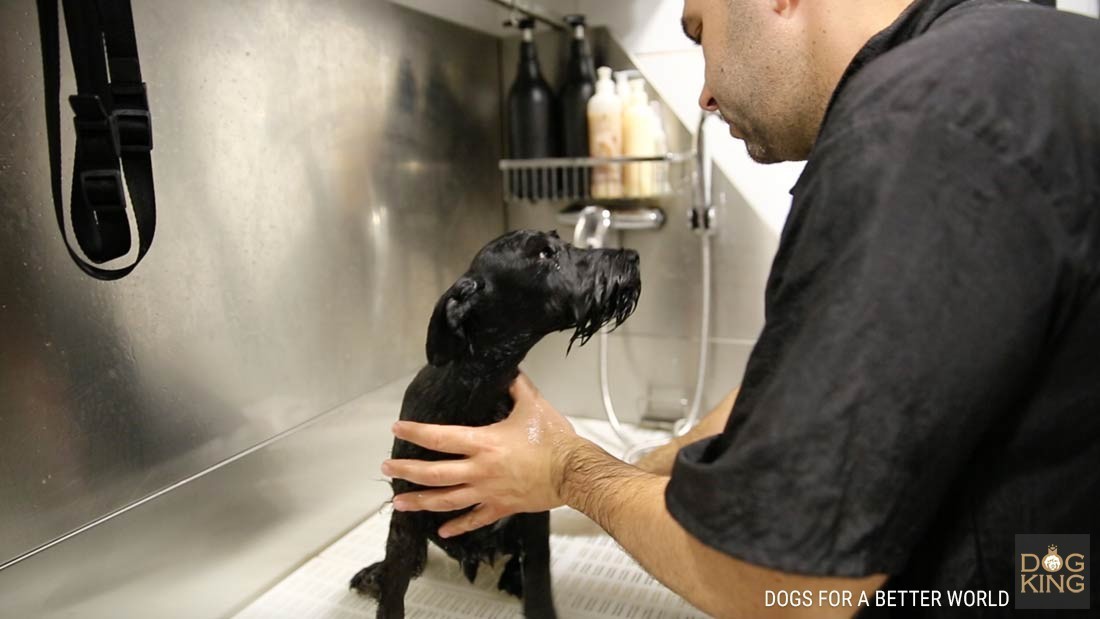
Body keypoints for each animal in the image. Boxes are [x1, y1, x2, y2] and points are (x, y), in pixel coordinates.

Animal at [347, 229, 642, 615]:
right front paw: (387, 584)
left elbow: (539, 575)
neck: (475, 391)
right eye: (544, 254)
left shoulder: (532, 512)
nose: (633, 257)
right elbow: (395, 589)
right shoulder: (408, 508)